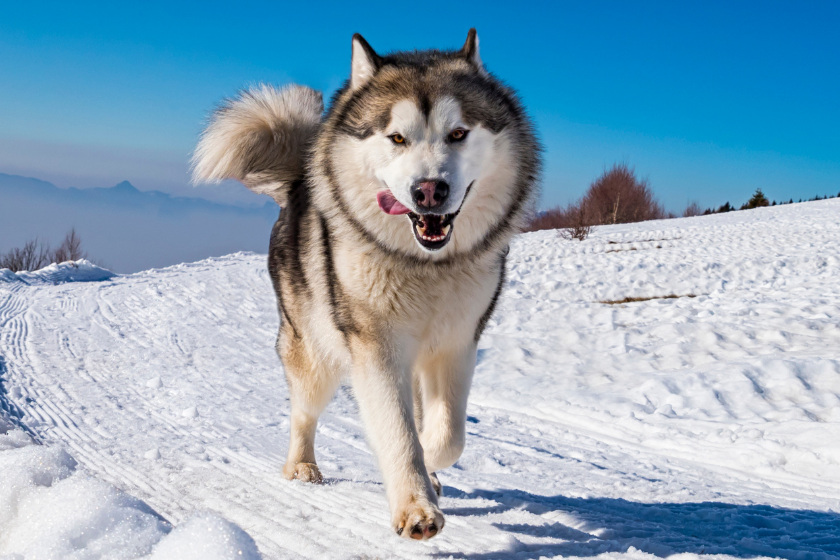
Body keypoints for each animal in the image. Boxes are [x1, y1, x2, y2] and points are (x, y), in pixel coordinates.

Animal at [194, 29, 540, 540]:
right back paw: (301, 467)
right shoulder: (376, 344)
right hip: (313, 351)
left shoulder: (457, 343)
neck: (423, 265)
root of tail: (297, 183)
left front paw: (430, 467)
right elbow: (398, 430)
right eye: (396, 137)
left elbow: (447, 435)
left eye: (458, 134)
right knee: (303, 411)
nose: (429, 190)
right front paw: (416, 505)